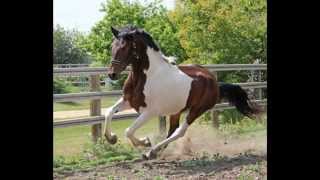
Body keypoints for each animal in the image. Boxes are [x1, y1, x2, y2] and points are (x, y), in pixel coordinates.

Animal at [104, 25, 262, 159]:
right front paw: (111, 138)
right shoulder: (128, 101)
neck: (146, 76)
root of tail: (215, 83)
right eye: (112, 46)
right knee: (172, 130)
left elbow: (128, 131)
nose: (112, 74)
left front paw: (145, 141)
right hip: (177, 110)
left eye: (124, 47)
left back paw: (151, 151)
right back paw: (154, 152)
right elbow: (109, 112)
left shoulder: (150, 112)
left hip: (197, 110)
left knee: (179, 131)